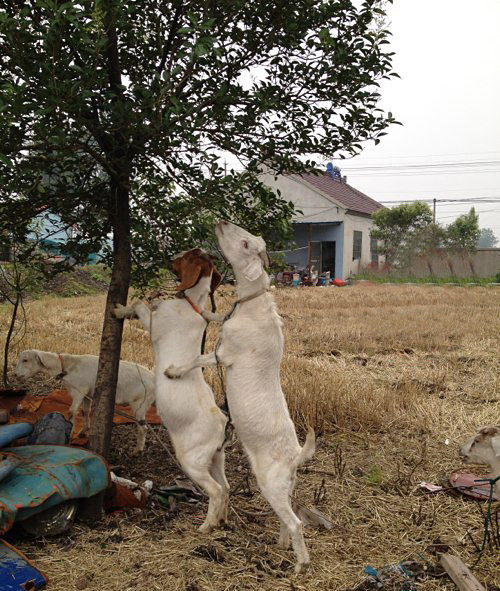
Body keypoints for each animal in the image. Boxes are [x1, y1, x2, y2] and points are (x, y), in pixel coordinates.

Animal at [14, 346, 153, 454]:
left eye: (25, 360)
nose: (16, 374)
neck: (67, 366)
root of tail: (153, 378)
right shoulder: (88, 393)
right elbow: (85, 411)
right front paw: (83, 431)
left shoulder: (79, 391)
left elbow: (72, 411)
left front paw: (70, 435)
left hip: (140, 403)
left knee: (143, 428)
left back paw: (137, 450)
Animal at [113, 247, 229, 536]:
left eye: (187, 256)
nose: (169, 259)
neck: (190, 304)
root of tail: (222, 423)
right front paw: (123, 309)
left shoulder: (155, 325)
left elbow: (140, 305)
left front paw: (119, 310)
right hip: (215, 458)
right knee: (227, 487)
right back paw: (222, 520)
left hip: (192, 460)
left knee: (216, 490)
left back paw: (206, 526)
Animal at [167, 222, 316, 572]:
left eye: (247, 243)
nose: (221, 223)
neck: (252, 306)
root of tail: (295, 456)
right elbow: (211, 318)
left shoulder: (224, 354)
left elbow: (197, 358)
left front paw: (174, 370)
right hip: (284, 487)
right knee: (287, 519)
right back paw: (281, 545)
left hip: (271, 484)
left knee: (296, 523)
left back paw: (300, 565)